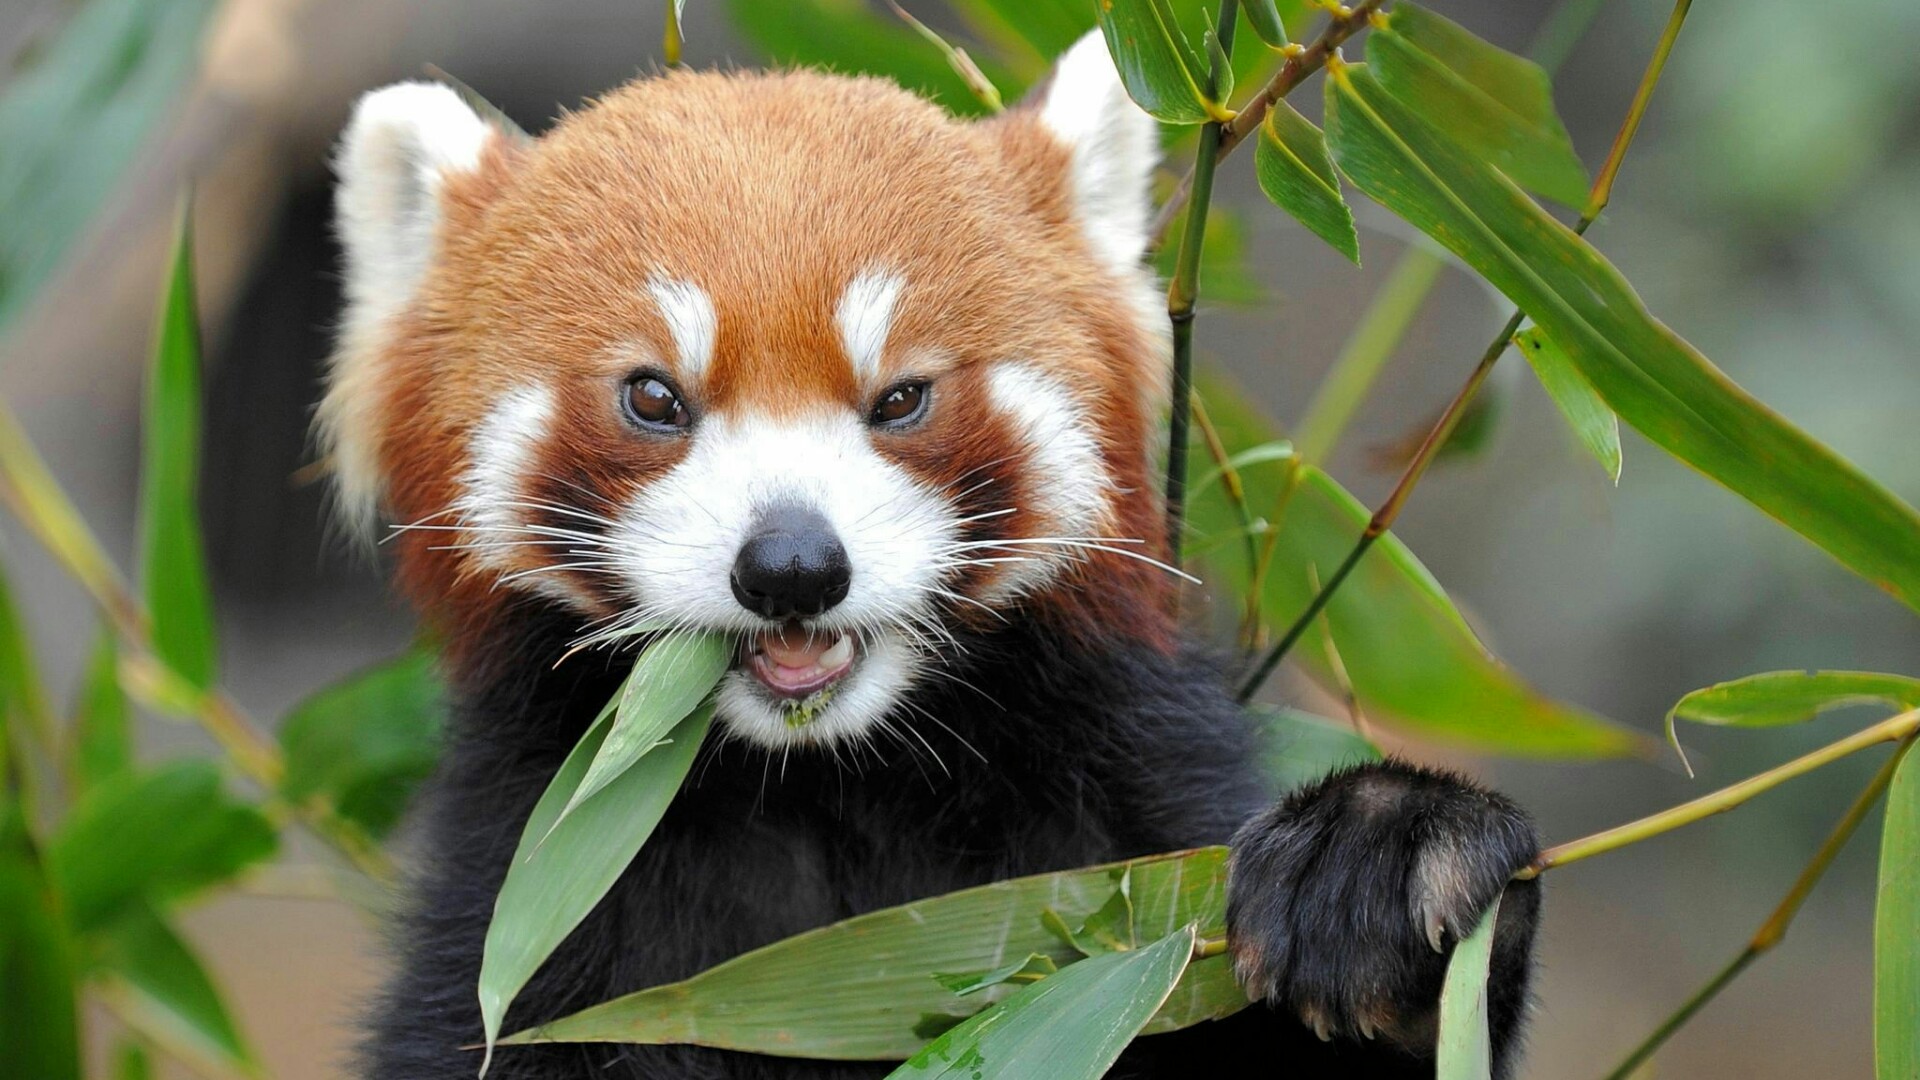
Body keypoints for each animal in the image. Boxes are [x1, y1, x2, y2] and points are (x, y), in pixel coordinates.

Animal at [322, 29, 1536, 1068]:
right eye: (654, 397)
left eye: (902, 397)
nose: (793, 566)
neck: (829, 785)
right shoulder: (535, 896)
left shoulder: (1128, 842)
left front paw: (1383, 862)